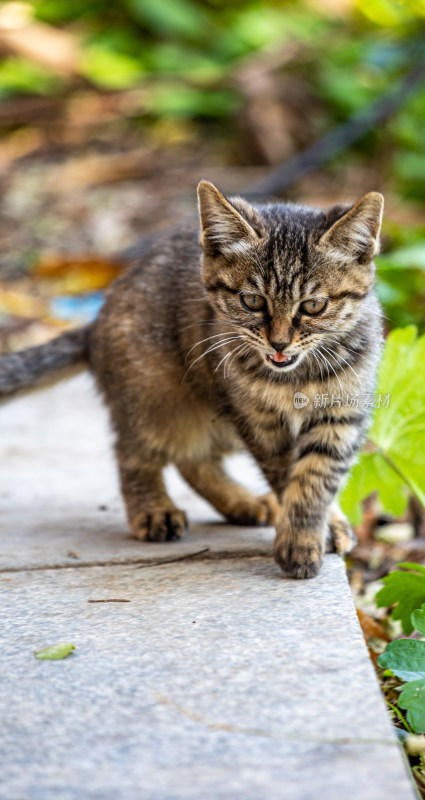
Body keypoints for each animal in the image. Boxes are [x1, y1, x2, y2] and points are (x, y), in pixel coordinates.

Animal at [0, 184, 384, 580]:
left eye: (314, 306)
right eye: (252, 301)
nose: (279, 343)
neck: (295, 378)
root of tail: (94, 324)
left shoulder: (342, 414)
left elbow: (316, 478)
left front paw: (312, 531)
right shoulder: (259, 422)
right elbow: (287, 475)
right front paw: (307, 539)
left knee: (194, 459)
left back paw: (242, 502)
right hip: (154, 398)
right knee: (134, 451)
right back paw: (153, 508)